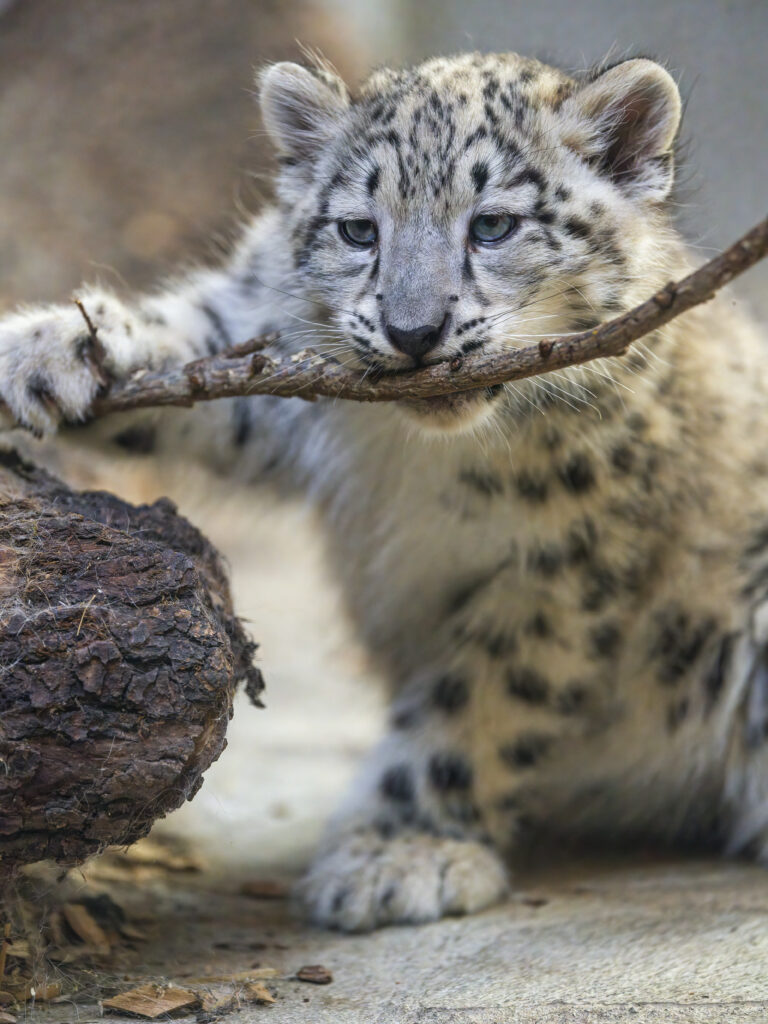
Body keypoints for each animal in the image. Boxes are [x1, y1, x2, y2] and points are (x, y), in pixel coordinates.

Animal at [2, 51, 768, 933]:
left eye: (493, 225)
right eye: (358, 230)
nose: (412, 331)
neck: (434, 455)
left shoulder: (570, 565)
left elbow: (479, 701)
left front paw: (398, 852)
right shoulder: (272, 352)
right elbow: (206, 345)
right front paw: (51, 349)